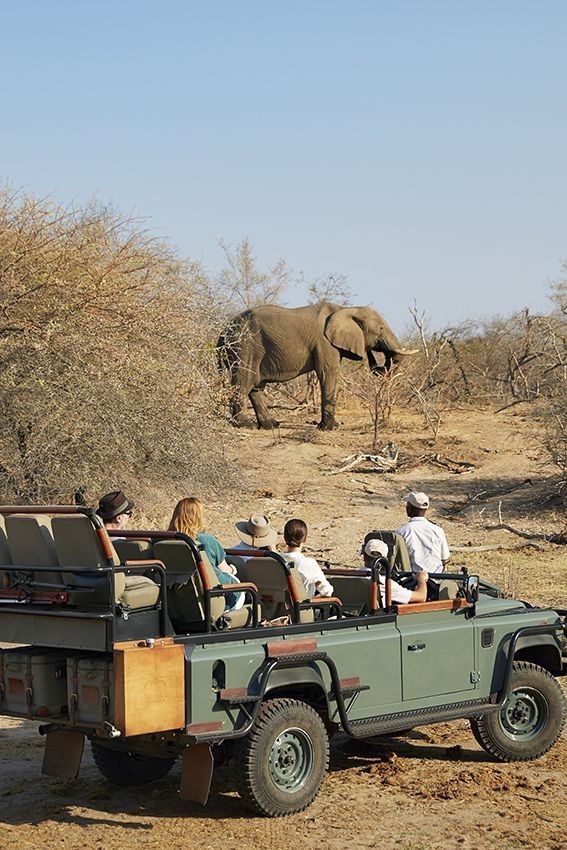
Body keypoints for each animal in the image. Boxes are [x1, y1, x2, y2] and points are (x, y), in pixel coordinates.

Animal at [217, 302, 418, 430]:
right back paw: (244, 424)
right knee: (243, 382)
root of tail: (222, 333)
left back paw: (270, 425)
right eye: (381, 329)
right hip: (244, 347)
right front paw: (332, 428)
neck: (346, 310)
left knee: (255, 386)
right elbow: (328, 373)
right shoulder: (324, 342)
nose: (371, 355)